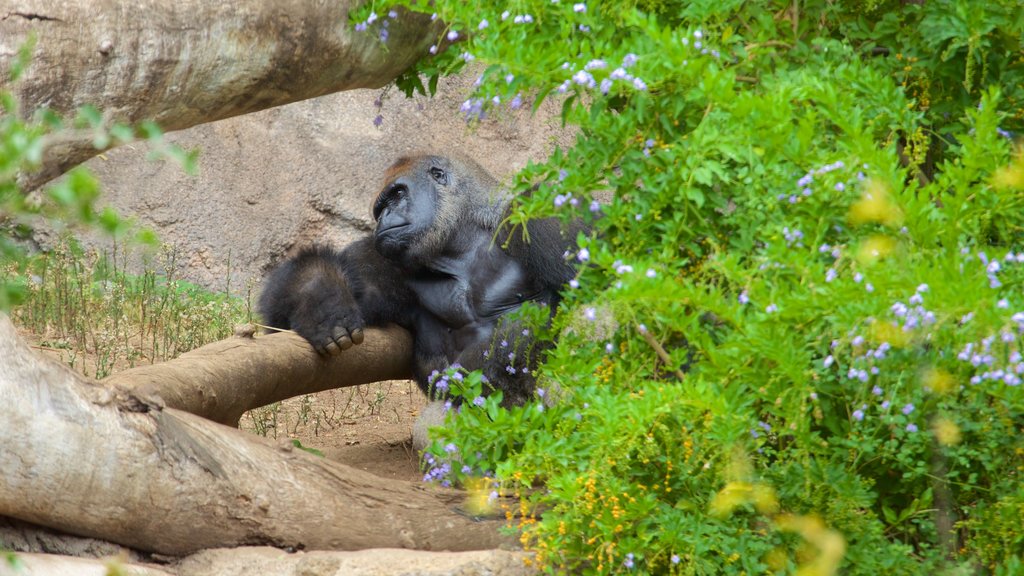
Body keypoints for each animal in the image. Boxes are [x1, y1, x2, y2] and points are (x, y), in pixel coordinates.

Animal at [260, 152, 581, 403]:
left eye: (398, 193)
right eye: (380, 208)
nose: (383, 217)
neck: (462, 239)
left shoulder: (540, 208)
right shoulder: (384, 257)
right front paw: (322, 302)